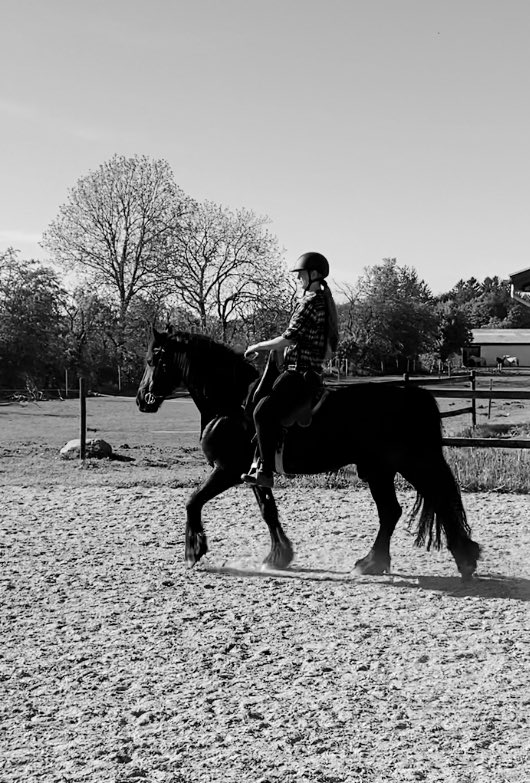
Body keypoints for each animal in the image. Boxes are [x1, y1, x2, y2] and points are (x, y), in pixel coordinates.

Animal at [135, 328, 478, 580]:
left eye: (153, 360)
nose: (142, 399)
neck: (232, 404)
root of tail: (412, 395)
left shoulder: (227, 470)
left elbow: (193, 501)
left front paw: (193, 550)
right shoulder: (254, 473)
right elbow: (268, 511)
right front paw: (279, 556)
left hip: (399, 466)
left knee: (418, 506)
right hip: (386, 469)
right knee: (403, 509)